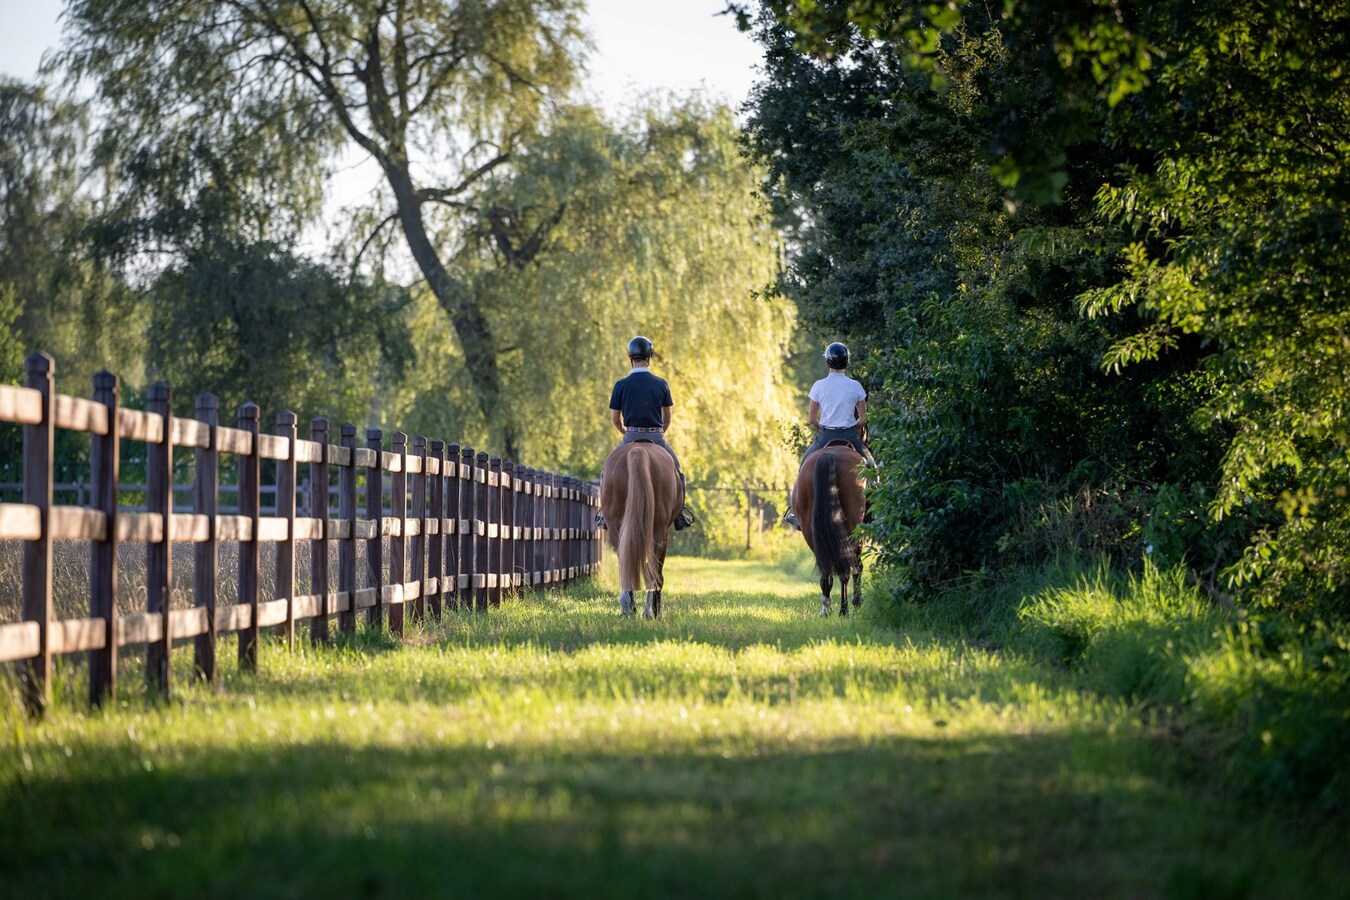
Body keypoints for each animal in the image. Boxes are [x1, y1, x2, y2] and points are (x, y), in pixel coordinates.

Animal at [604, 442, 685, 620]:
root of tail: (638, 450)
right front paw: (656, 610)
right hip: (659, 530)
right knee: (654, 570)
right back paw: (649, 611)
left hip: (616, 528)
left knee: (626, 560)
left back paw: (628, 608)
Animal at [788, 445, 864, 620]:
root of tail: (830, 453)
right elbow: (858, 566)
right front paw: (856, 602)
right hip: (853, 527)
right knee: (847, 566)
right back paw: (842, 610)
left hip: (809, 529)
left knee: (826, 566)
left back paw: (828, 607)